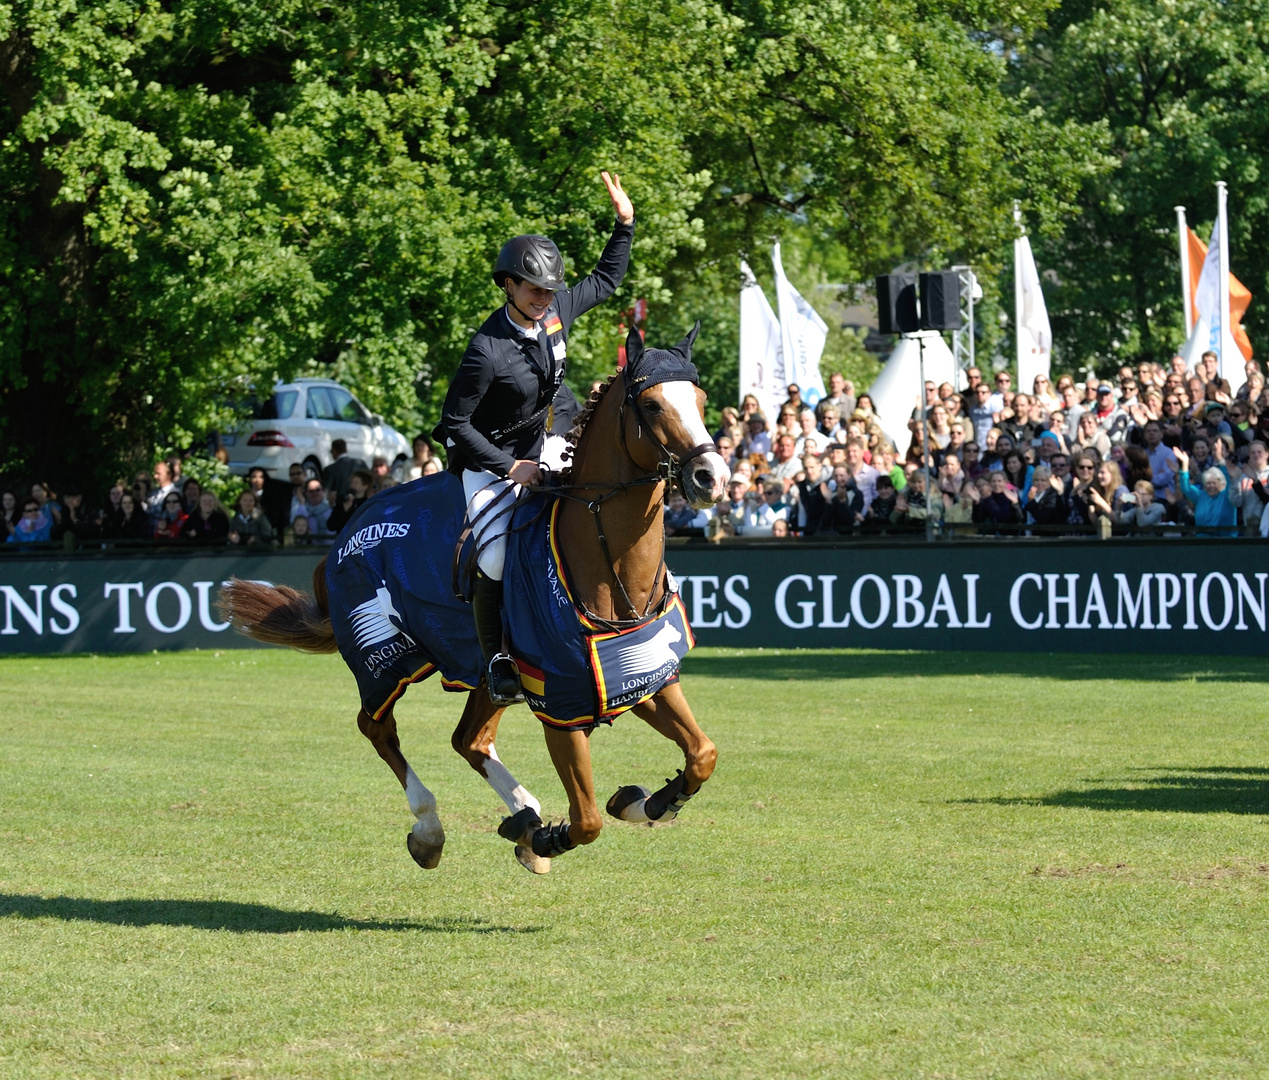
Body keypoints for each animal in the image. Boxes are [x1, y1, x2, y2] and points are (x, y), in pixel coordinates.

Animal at [222, 324, 730, 873]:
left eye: (701, 399)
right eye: (652, 405)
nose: (712, 477)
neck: (606, 564)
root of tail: (348, 530)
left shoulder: (643, 678)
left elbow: (702, 755)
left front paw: (645, 803)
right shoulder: (562, 704)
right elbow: (587, 821)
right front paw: (550, 837)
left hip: (485, 673)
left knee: (469, 739)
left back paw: (524, 811)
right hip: (382, 662)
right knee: (378, 729)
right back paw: (433, 828)